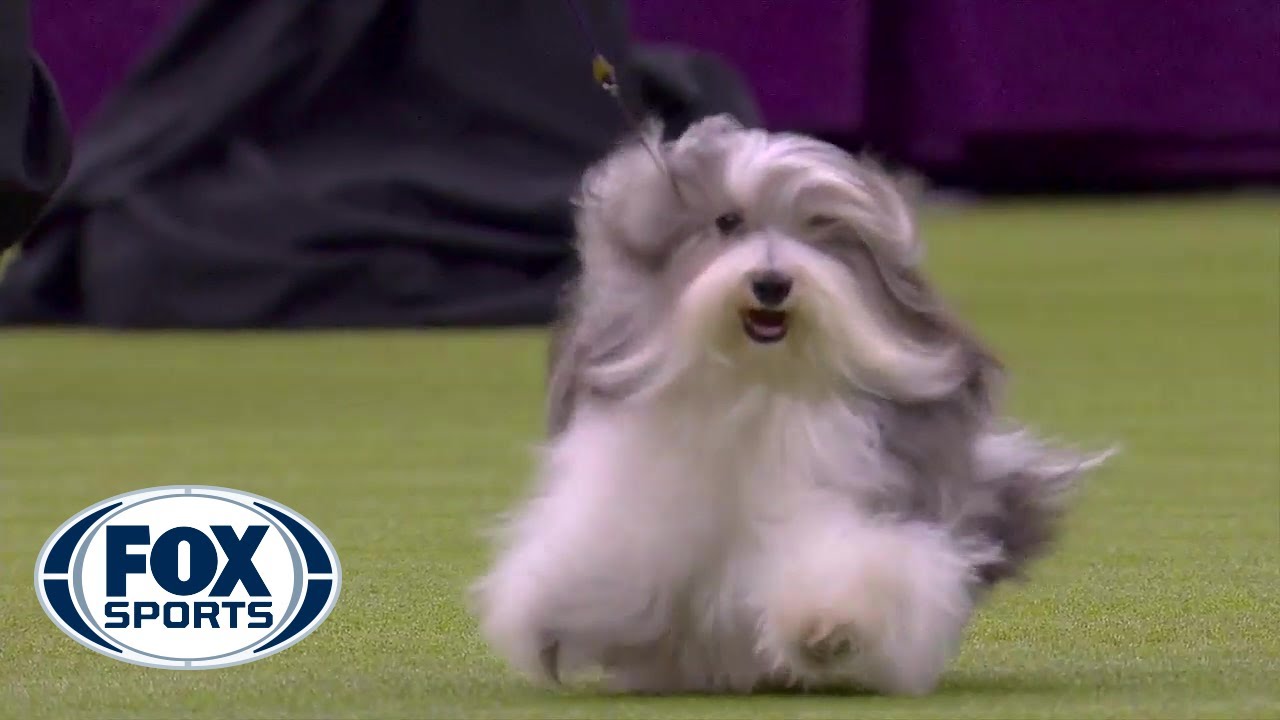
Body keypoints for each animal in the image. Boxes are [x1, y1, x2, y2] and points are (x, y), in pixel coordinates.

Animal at [471, 114, 1111, 691]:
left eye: (818, 227)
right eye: (727, 221)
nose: (772, 284)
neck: (758, 384)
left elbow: (846, 559)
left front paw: (827, 625)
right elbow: (607, 563)